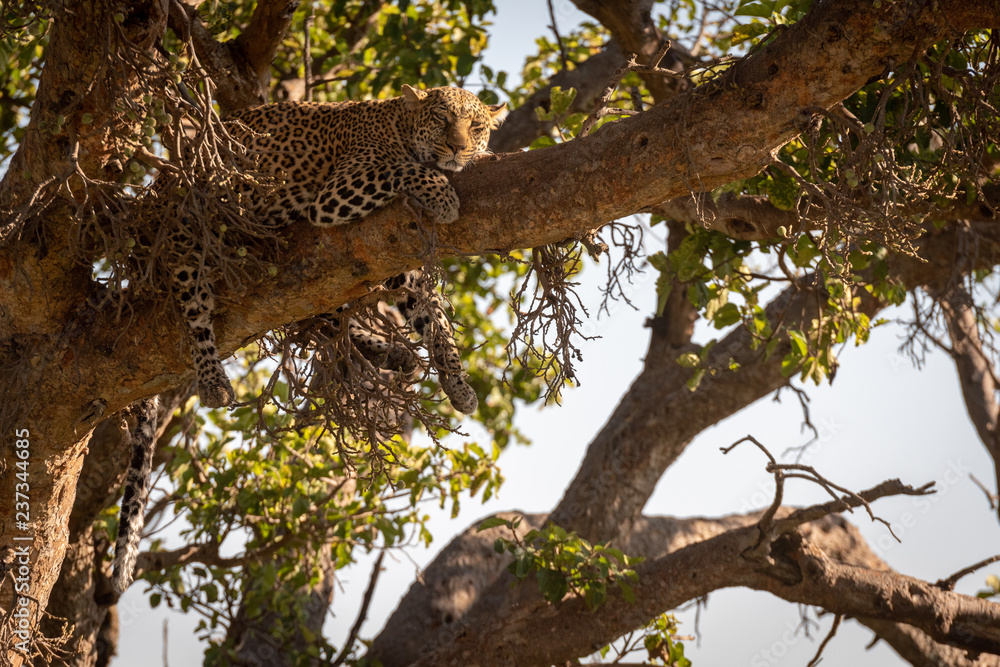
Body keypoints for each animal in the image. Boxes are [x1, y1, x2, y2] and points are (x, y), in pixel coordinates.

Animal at [111, 86, 506, 593]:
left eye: (475, 126)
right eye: (442, 120)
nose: (458, 148)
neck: (400, 124)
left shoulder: (396, 256)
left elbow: (434, 320)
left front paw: (458, 384)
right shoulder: (341, 190)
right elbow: (405, 170)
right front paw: (442, 194)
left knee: (325, 318)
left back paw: (394, 355)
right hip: (187, 237)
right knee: (195, 308)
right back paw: (214, 381)